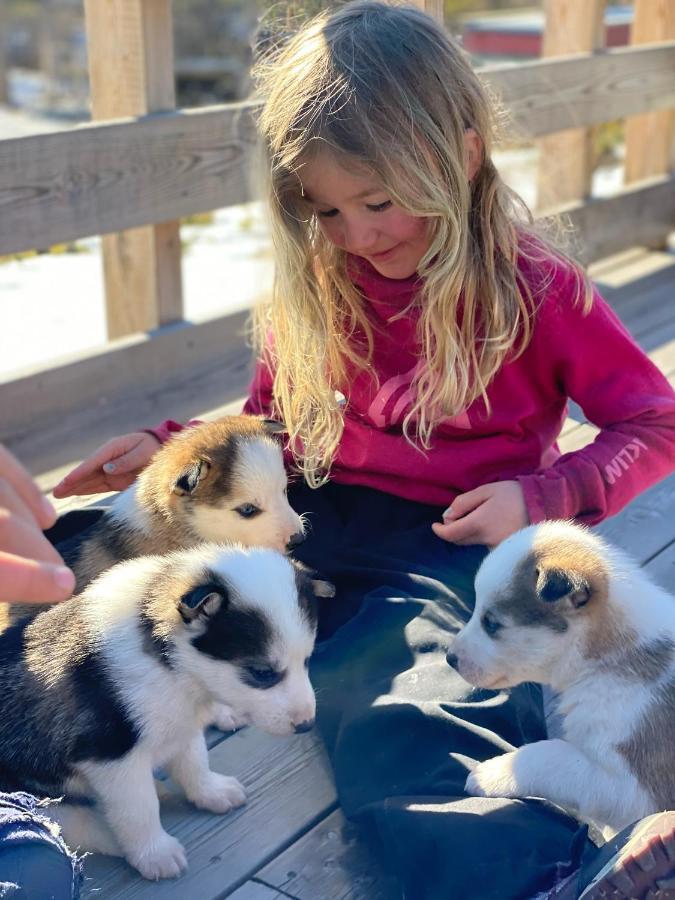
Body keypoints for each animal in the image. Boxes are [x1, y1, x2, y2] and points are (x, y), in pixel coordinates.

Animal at [0, 540, 332, 880]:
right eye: (262, 673)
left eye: (307, 660)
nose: (306, 724)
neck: (167, 662)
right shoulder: (111, 756)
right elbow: (138, 810)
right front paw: (154, 853)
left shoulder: (182, 723)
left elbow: (194, 761)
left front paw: (210, 791)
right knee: (70, 825)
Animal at [448, 520, 675, 836]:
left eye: (491, 623)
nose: (449, 657)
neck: (606, 661)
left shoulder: (637, 792)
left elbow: (548, 755)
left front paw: (490, 773)